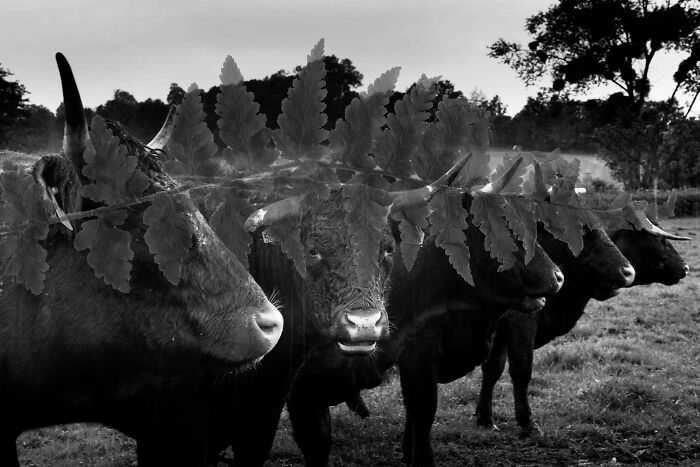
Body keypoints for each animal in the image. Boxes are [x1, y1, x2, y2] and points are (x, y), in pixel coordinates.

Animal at [474, 222, 688, 438]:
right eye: (659, 239)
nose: (685, 267)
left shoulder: (497, 334)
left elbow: (492, 370)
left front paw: (484, 418)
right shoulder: (519, 324)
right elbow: (521, 371)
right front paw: (527, 423)